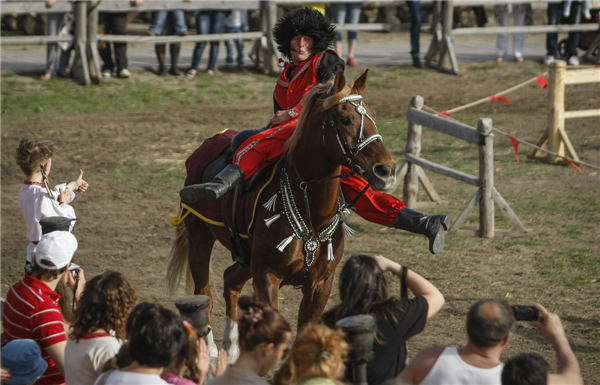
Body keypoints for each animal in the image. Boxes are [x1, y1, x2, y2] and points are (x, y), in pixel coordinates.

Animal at [166, 70, 396, 358]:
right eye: (345, 119)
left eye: (374, 115)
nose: (386, 170)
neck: (311, 215)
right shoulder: (267, 274)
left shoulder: (320, 284)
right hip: (200, 236)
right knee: (203, 294)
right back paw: (210, 349)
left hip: (246, 257)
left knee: (230, 280)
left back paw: (232, 344)